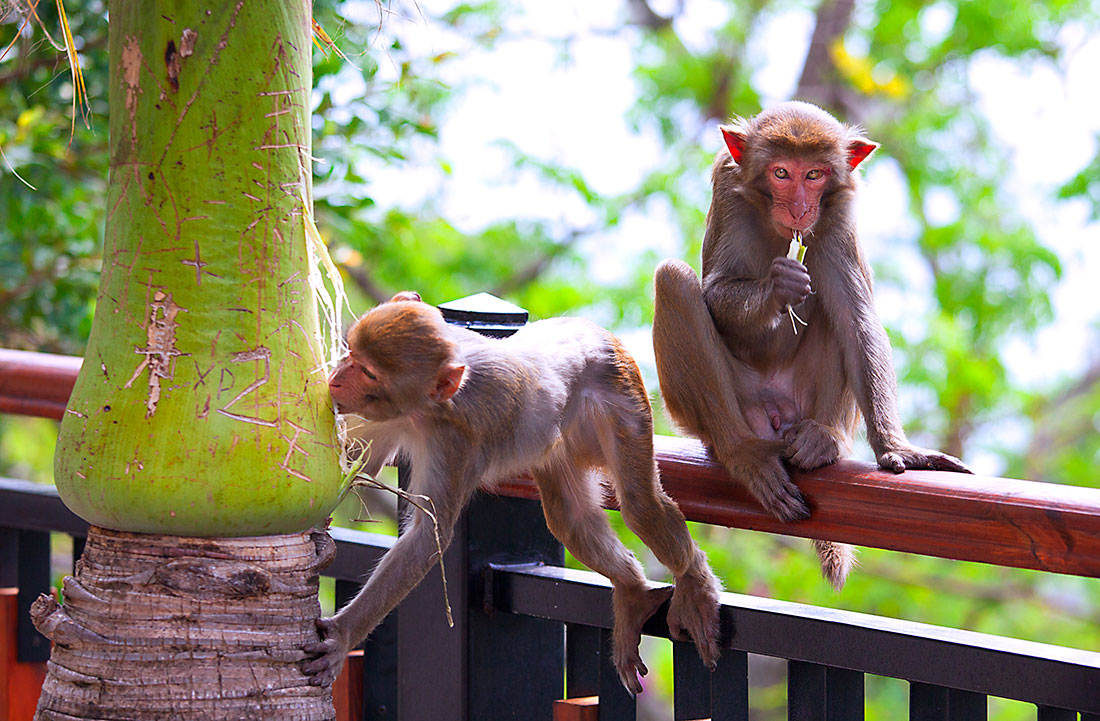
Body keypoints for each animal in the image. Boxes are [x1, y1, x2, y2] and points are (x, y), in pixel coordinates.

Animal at [651, 101, 972, 590]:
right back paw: (742, 453)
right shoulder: (728, 191)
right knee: (673, 280)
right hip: (715, 409)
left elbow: (857, 319)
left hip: (803, 405)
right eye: (782, 172)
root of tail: (775, 418)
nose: (802, 207)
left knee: (833, 309)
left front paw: (897, 447)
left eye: (816, 174)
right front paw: (777, 286)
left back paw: (826, 439)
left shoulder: (836, 215)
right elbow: (715, 290)